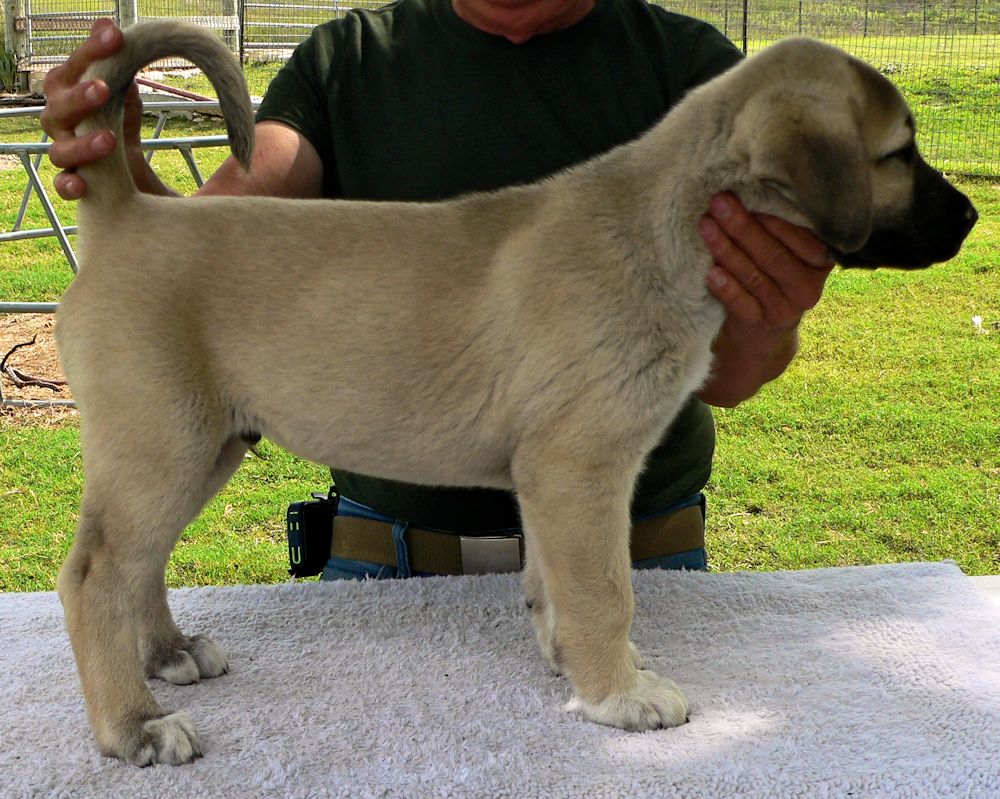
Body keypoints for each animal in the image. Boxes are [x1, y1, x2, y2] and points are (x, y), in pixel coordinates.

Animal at [56, 21, 976, 764]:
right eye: (898, 153)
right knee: (97, 574)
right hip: (163, 444)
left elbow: (556, 583)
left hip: (199, 446)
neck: (662, 225)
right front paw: (618, 694)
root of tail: (129, 212)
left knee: (139, 564)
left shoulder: (553, 477)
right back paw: (134, 724)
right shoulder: (581, 465)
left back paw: (169, 653)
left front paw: (579, 664)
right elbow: (606, 587)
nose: (970, 218)